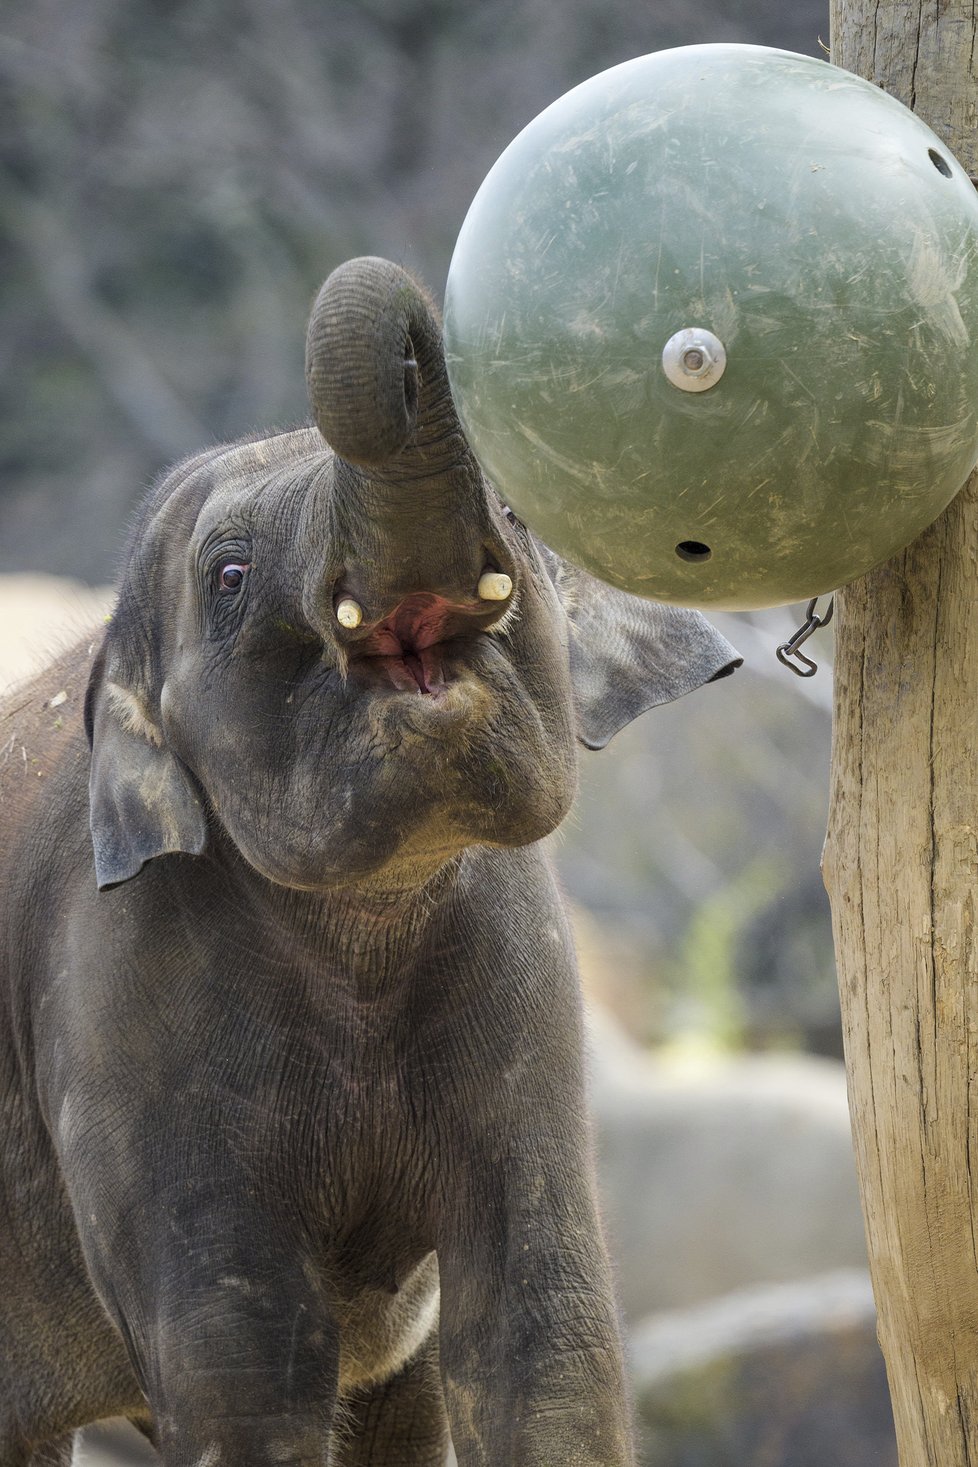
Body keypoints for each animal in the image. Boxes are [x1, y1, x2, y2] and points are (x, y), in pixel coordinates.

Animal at [0, 258, 733, 1461]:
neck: (366, 923)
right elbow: (245, 1372)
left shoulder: (521, 974)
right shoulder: (118, 1000)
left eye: (517, 511)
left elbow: (543, 1336)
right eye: (230, 573)